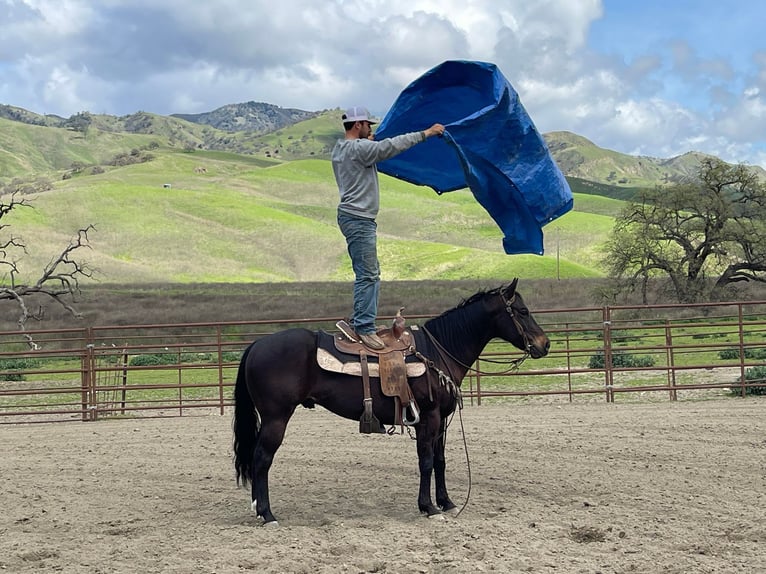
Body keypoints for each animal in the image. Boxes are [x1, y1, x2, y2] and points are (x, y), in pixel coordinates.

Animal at [234, 282, 552, 528]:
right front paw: (429, 508)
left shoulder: (442, 421)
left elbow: (440, 461)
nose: (545, 344)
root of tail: (256, 345)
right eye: (522, 311)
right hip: (276, 418)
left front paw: (447, 502)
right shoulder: (428, 417)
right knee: (261, 459)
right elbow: (426, 461)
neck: (439, 349)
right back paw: (267, 514)